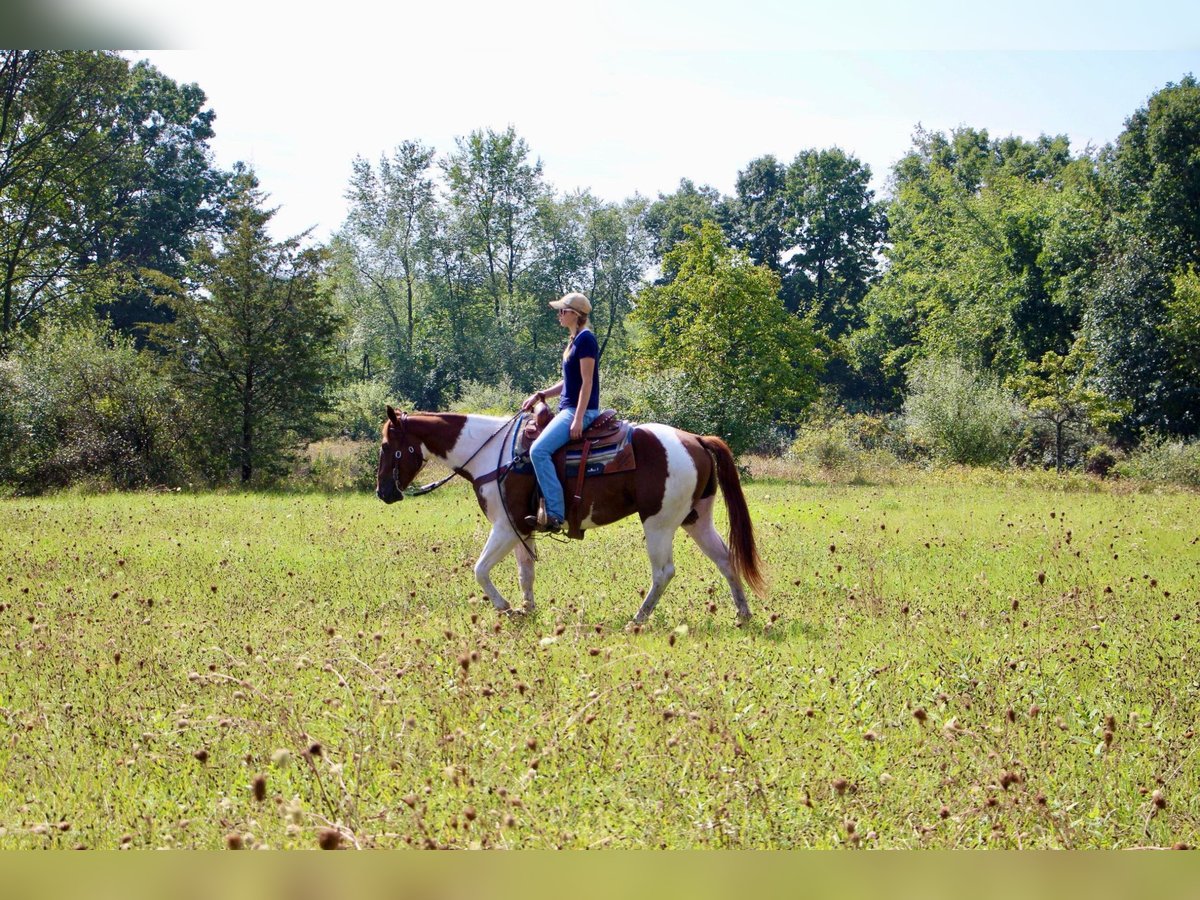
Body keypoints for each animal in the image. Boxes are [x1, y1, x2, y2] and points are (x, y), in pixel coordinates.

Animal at [376, 405, 768, 624]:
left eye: (386, 446)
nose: (383, 493)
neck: (490, 453)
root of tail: (696, 440)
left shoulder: (505, 527)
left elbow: (480, 570)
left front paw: (506, 608)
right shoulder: (521, 530)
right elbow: (525, 574)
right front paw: (526, 610)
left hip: (659, 523)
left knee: (663, 573)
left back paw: (638, 618)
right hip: (696, 519)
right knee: (724, 558)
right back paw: (742, 614)